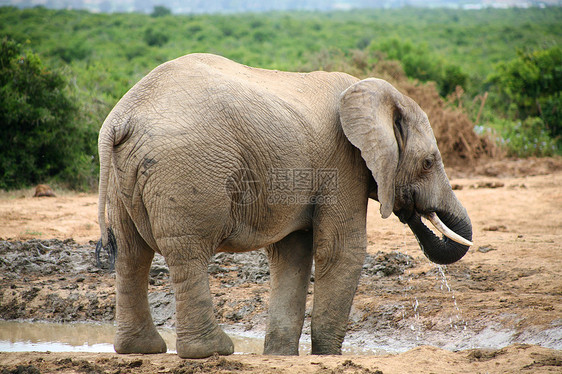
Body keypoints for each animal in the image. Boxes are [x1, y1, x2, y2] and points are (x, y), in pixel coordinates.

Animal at [97, 53, 472, 360]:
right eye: (428, 162)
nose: (411, 209)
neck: (373, 95)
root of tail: (121, 117)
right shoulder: (342, 161)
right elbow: (341, 249)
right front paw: (327, 356)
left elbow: (292, 253)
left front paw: (280, 356)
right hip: (185, 168)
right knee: (187, 250)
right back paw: (211, 351)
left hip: (124, 176)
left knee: (131, 253)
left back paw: (140, 349)